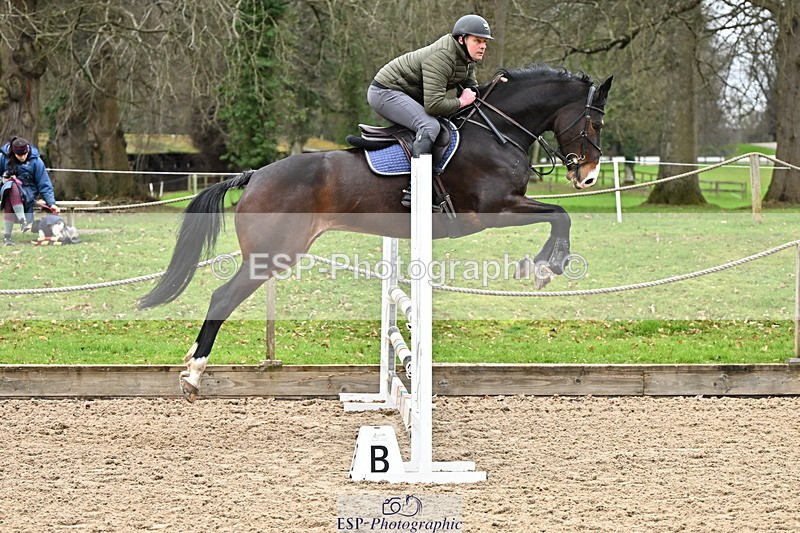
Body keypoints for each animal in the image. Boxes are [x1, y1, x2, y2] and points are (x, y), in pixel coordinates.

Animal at [138, 64, 613, 401]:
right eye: (595, 123)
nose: (588, 177)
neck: (497, 132)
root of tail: (255, 177)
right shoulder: (494, 210)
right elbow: (560, 215)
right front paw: (546, 267)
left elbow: (558, 215)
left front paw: (543, 266)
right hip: (272, 255)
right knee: (222, 298)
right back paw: (193, 375)